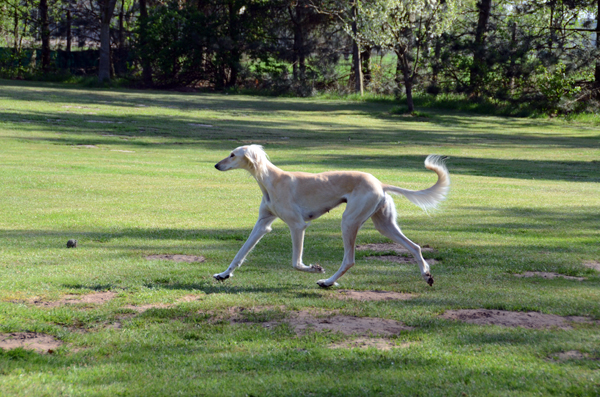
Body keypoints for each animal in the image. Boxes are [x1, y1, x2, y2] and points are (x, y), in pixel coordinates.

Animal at [213, 144, 448, 286]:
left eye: (232, 155)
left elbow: (296, 263)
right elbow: (240, 253)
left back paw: (327, 282)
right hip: (384, 225)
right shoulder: (263, 223)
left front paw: (314, 268)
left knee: (349, 260)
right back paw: (426, 275)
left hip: (349, 221)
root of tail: (381, 184)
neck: (271, 179)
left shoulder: (297, 226)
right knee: (415, 247)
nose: (216, 165)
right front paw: (224, 274)